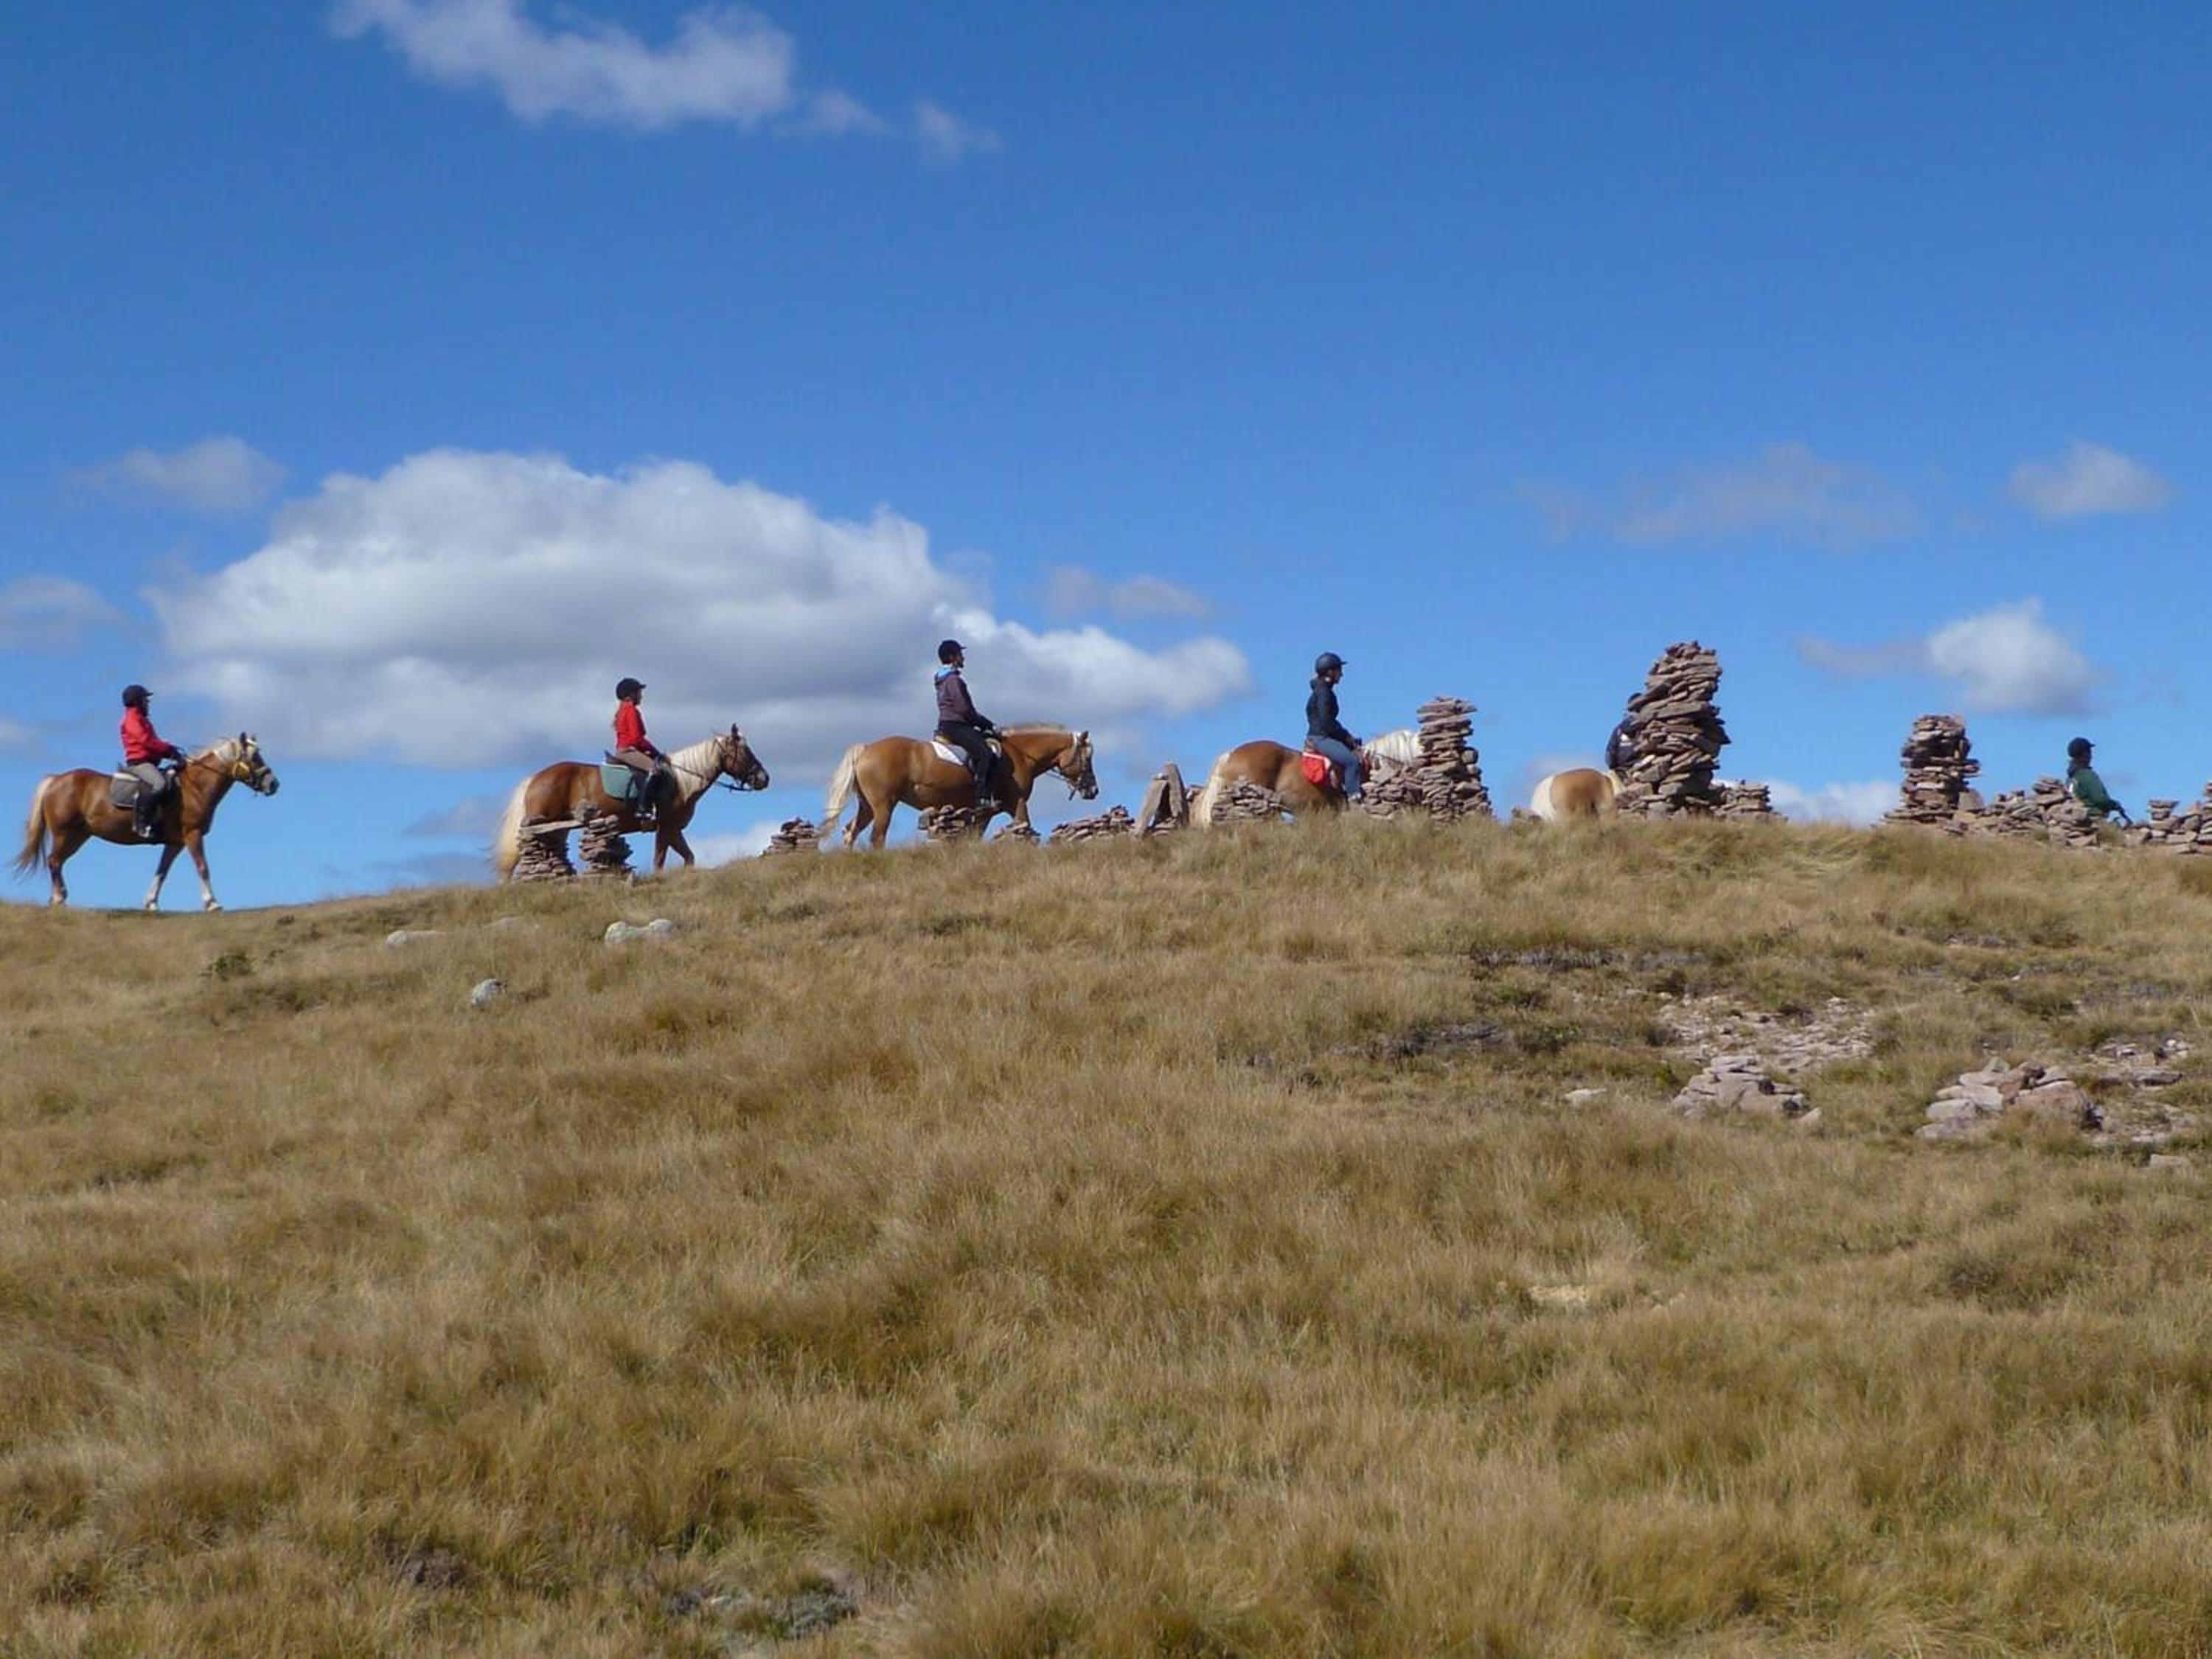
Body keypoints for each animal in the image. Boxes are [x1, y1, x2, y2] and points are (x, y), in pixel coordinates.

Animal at [14, 735, 281, 911]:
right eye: (255, 757)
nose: (274, 784)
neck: (195, 787)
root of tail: (56, 779)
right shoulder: (193, 834)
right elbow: (202, 867)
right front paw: (212, 903)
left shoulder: (175, 842)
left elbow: (162, 871)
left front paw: (151, 902)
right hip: (64, 833)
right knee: (54, 861)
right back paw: (59, 898)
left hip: (79, 836)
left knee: (57, 861)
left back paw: (57, 897)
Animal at [491, 727, 770, 879]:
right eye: (746, 753)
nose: (764, 779)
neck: (681, 780)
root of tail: (535, 777)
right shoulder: (666, 828)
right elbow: (660, 861)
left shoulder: (673, 830)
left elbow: (689, 858)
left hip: (557, 830)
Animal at [820, 725, 1097, 848]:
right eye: (1088, 757)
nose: (1093, 791)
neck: (1019, 755)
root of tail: (867, 749)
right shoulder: (1015, 802)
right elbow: (1025, 828)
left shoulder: (985, 812)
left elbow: (974, 837)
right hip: (883, 805)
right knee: (877, 837)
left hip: (867, 806)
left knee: (851, 832)